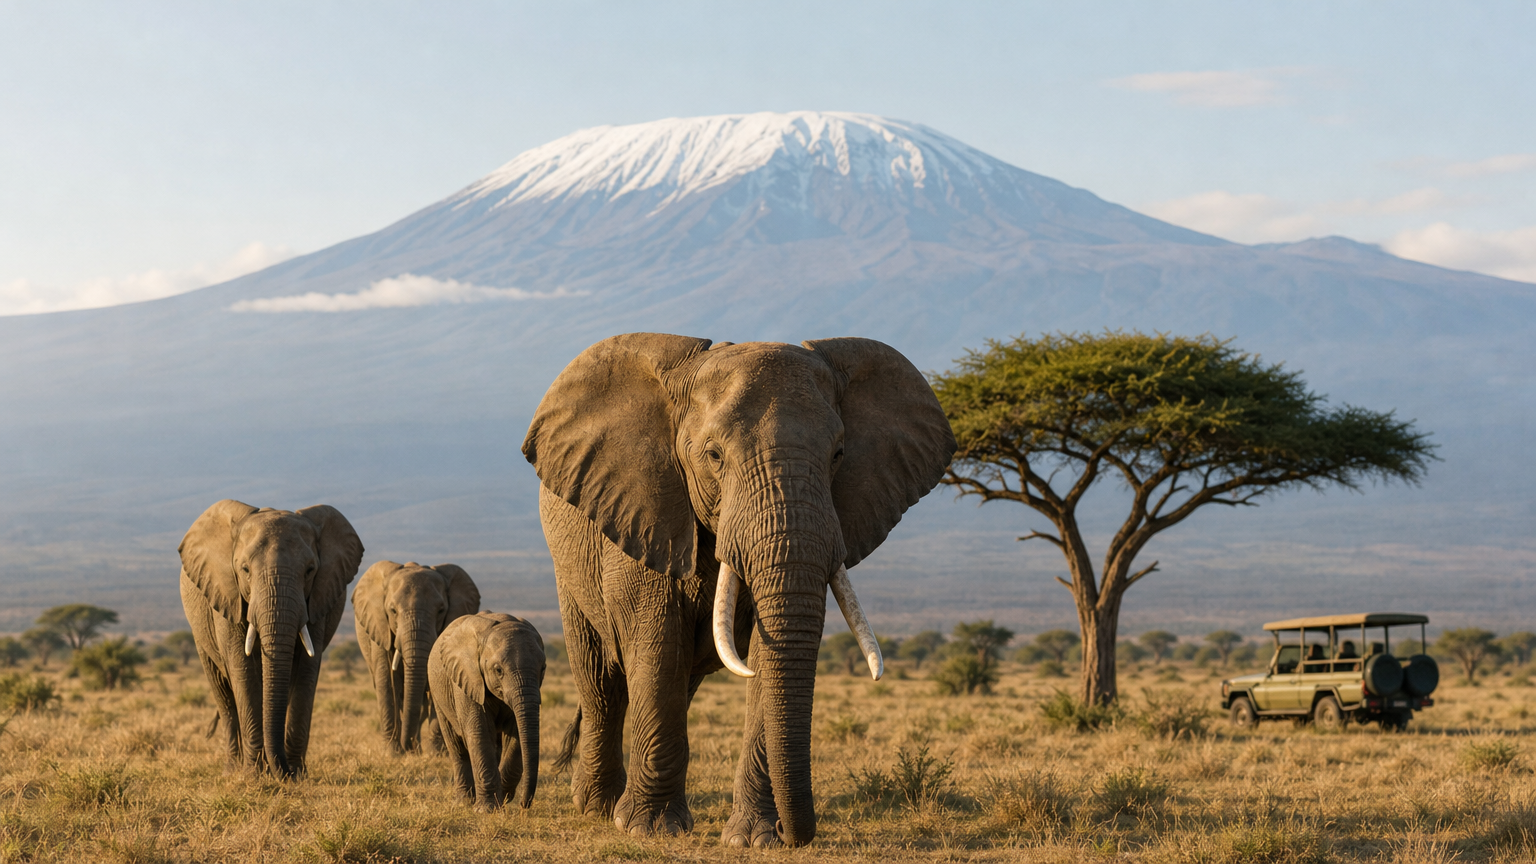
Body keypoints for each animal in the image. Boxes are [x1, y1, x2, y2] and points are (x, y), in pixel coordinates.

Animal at [179, 499, 364, 778]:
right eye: (244, 569)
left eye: (310, 570)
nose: (283, 772)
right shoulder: (228, 594)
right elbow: (242, 668)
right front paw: (254, 775)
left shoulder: (317, 599)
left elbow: (307, 670)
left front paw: (296, 774)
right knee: (224, 696)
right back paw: (233, 770)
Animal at [352, 560, 481, 753]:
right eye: (392, 610)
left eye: (441, 610)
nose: (406, 746)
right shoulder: (380, 629)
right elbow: (386, 681)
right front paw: (392, 753)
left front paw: (436, 753)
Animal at [428, 611, 545, 810]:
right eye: (498, 670)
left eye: (543, 668)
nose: (524, 805)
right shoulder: (467, 679)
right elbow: (480, 731)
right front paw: (487, 809)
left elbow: (516, 734)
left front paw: (503, 797)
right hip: (438, 692)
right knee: (456, 746)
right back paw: (464, 802)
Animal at [522, 333, 955, 847]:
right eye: (714, 456)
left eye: (838, 455)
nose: (797, 834)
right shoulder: (646, 510)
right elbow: (657, 645)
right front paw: (651, 829)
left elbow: (769, 658)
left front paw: (757, 838)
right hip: (569, 564)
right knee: (602, 680)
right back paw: (596, 807)